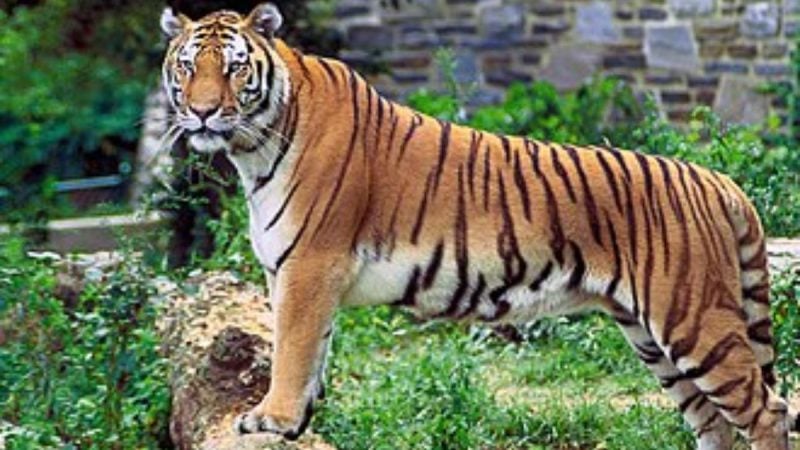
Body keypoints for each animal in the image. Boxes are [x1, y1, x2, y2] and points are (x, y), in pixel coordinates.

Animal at [158, 3, 798, 449]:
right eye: (188, 67)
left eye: (234, 68)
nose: (203, 112)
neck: (254, 147)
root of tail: (718, 180)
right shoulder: (295, 273)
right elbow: (313, 350)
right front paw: (299, 421)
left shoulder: (311, 265)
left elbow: (291, 348)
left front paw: (273, 418)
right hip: (650, 335)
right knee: (714, 421)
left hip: (694, 319)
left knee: (768, 410)